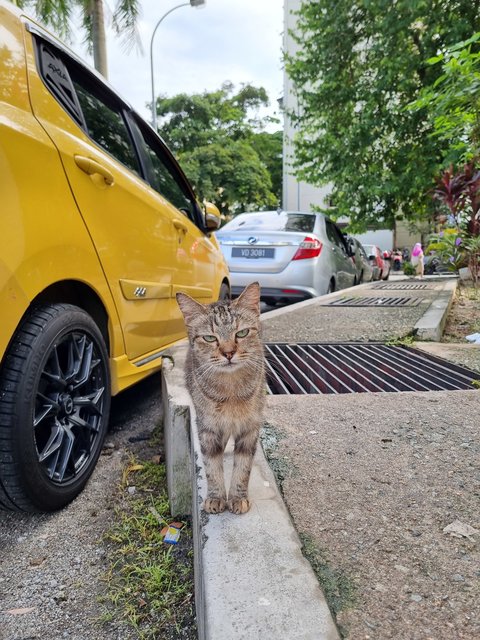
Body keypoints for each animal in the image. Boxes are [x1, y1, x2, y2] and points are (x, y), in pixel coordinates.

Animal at [177, 282, 266, 512]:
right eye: (210, 337)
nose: (228, 353)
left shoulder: (250, 426)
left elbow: (243, 466)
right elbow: (211, 465)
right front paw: (216, 496)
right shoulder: (207, 427)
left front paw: (237, 496)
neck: (231, 391)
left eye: (242, 333)